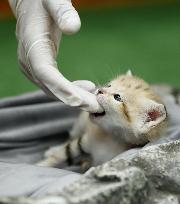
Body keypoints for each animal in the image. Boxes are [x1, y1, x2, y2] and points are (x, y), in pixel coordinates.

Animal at [38, 71, 167, 171]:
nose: (100, 90)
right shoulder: (84, 140)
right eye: (109, 85)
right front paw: (41, 165)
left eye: (117, 97)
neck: (110, 139)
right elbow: (64, 152)